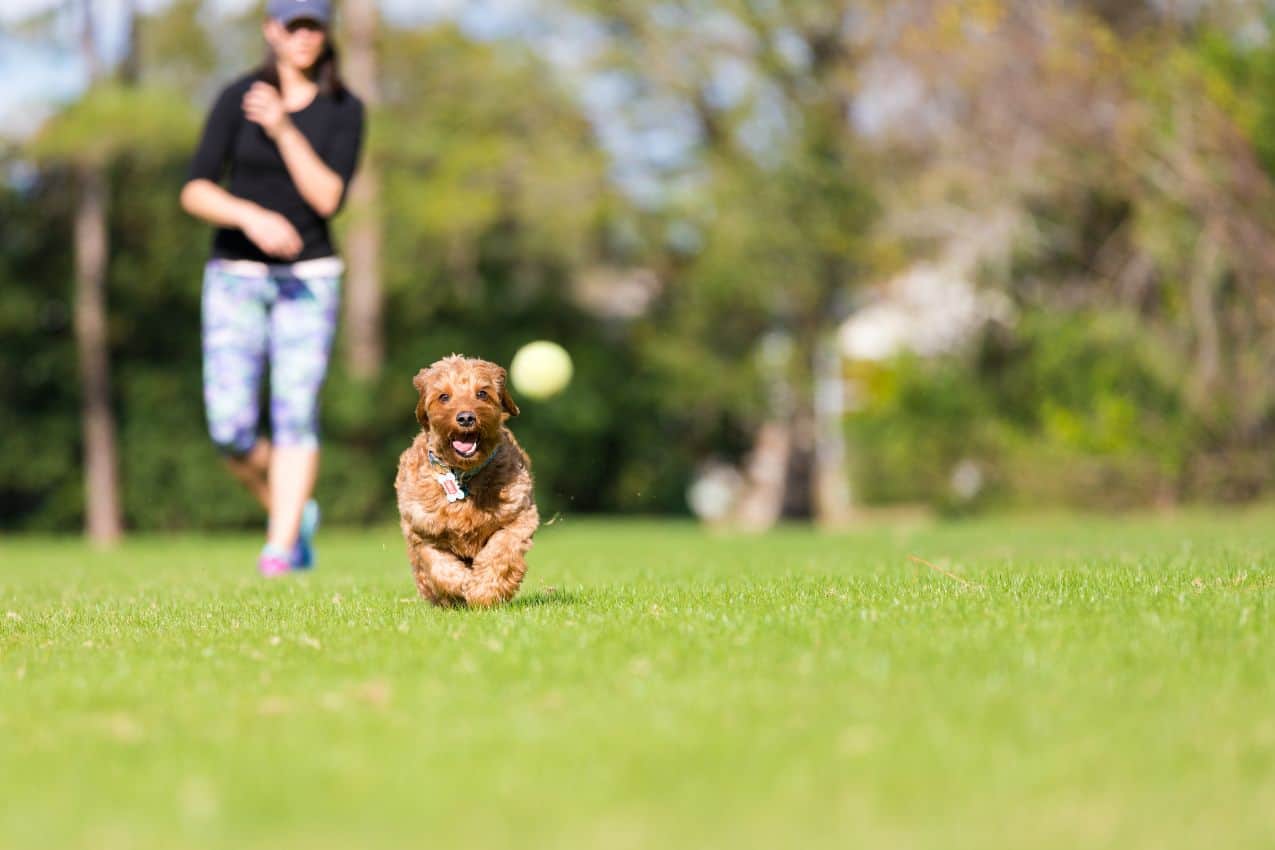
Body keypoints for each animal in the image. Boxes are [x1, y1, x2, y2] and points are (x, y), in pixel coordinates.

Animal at [395, 356, 540, 609]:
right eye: (444, 396)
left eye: (482, 393)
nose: (465, 418)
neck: (462, 475)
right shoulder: (422, 531)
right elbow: (439, 568)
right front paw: (462, 584)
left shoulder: (520, 517)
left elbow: (500, 552)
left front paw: (484, 591)